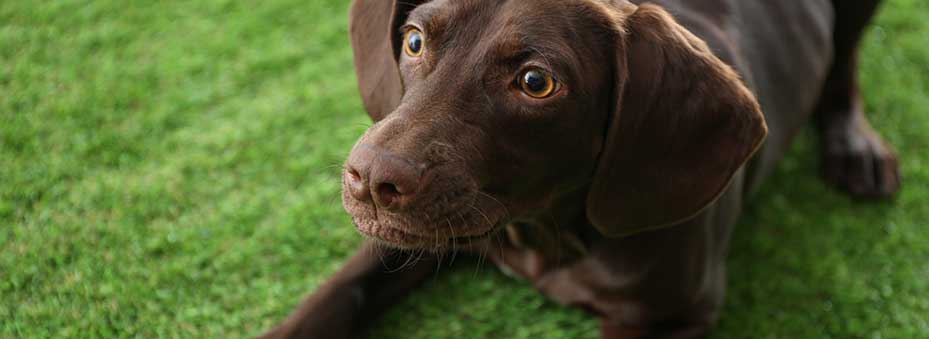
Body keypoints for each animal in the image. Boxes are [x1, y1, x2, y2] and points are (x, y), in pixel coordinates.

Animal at [258, 0, 896, 339]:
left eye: (536, 82)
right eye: (414, 41)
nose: (369, 180)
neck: (544, 233)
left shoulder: (670, 317)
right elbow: (336, 294)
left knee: (845, 63)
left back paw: (855, 146)